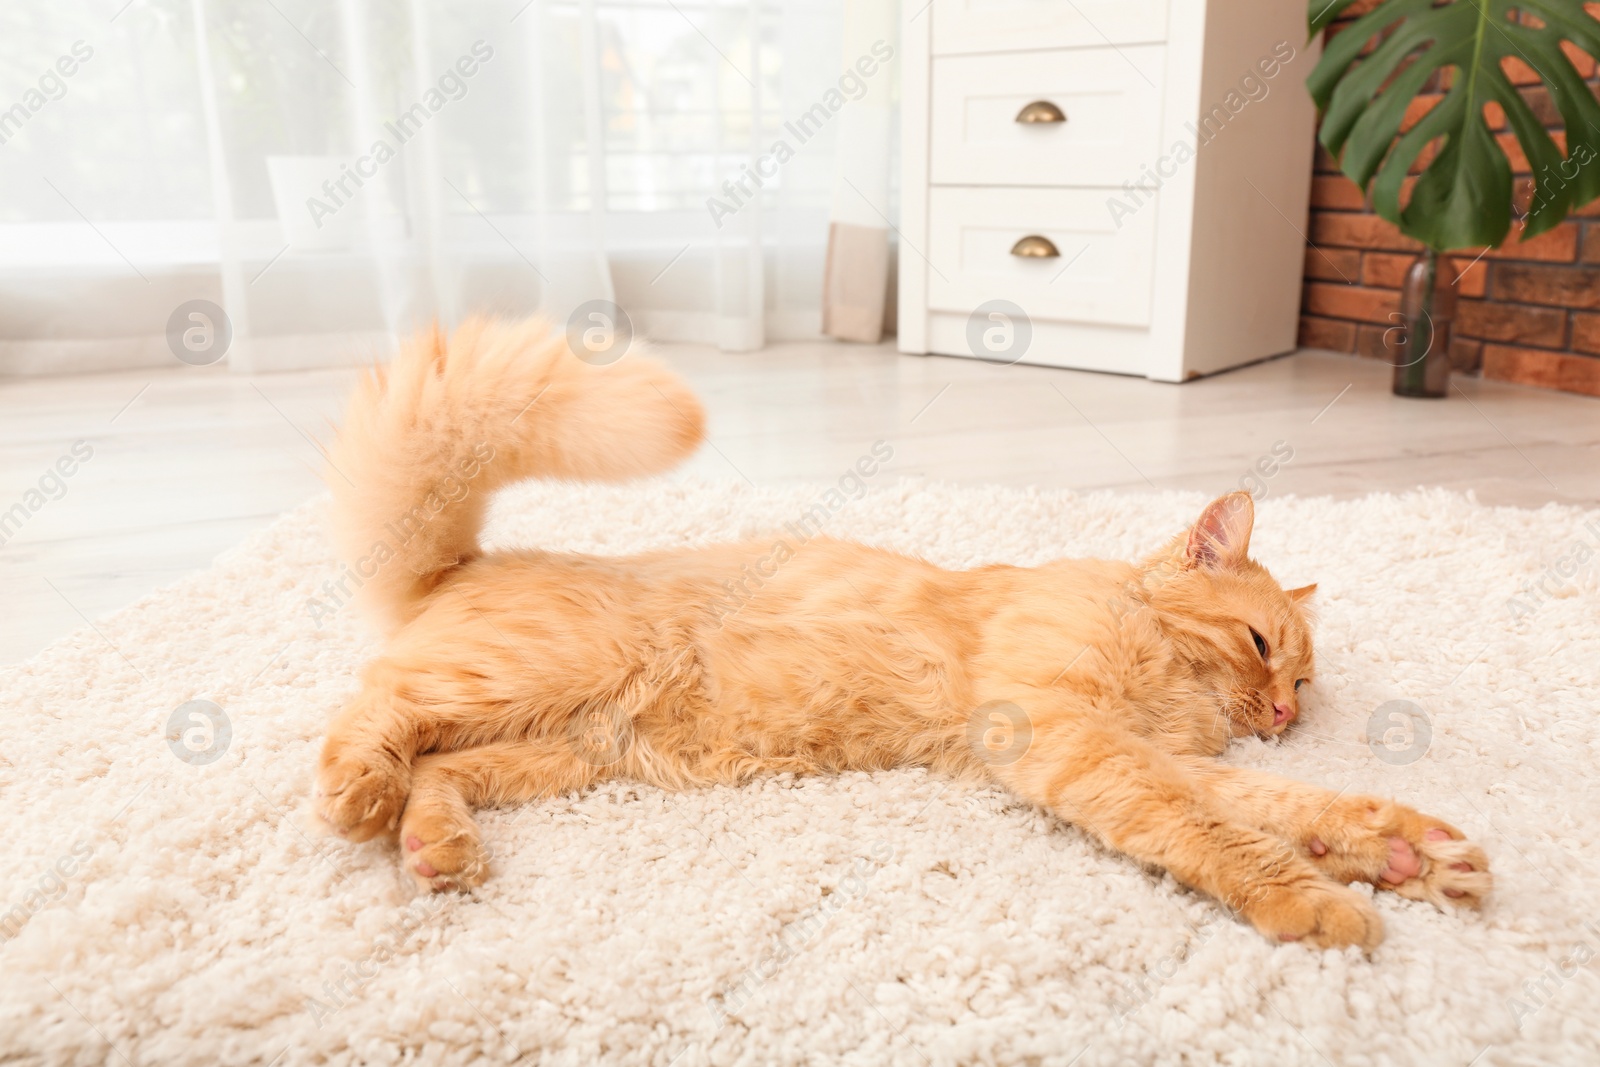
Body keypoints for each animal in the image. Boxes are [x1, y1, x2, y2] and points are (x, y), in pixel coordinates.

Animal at [312, 316, 1484, 953]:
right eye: (1260, 645)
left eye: (1304, 681)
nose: (1283, 709)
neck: (1163, 677)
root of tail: (467, 559)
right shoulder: (1074, 737)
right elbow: (1211, 825)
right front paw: (1314, 897)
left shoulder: (1135, 748)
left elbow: (1277, 803)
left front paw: (1401, 849)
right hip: (529, 676)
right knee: (369, 711)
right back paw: (358, 792)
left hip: (569, 747)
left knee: (437, 768)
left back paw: (435, 846)